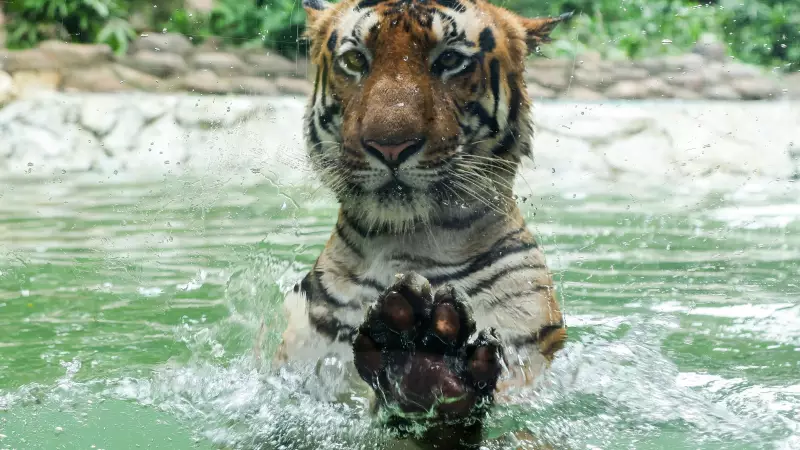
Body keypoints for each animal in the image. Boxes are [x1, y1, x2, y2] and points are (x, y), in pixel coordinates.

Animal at [276, 0, 572, 447]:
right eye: (355, 61)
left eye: (448, 60)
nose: (390, 145)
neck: (408, 244)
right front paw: (419, 365)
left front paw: (427, 369)